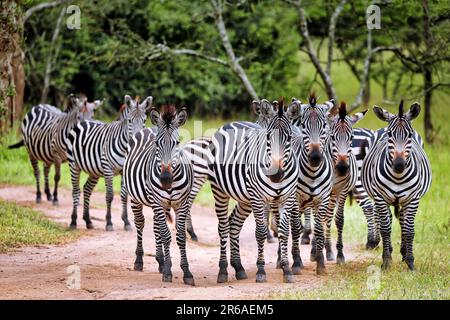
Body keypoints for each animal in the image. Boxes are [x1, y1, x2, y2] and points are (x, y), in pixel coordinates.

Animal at [66, 95, 152, 230]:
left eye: (144, 120)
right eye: (129, 121)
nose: (138, 139)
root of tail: (84, 121)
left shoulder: (124, 171)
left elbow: (124, 196)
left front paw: (126, 222)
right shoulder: (108, 169)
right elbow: (110, 195)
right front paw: (109, 222)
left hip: (94, 171)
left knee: (87, 189)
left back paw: (88, 221)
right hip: (74, 165)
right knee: (76, 191)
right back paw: (73, 221)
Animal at [123, 105, 195, 284]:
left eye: (177, 143)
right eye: (156, 143)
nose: (166, 179)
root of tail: (149, 128)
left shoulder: (182, 204)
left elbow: (180, 236)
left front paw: (186, 272)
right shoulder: (158, 202)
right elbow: (166, 235)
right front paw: (168, 271)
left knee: (156, 227)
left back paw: (160, 261)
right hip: (137, 199)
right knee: (140, 223)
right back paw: (139, 260)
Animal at [208, 99, 300, 282]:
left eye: (289, 138)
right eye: (268, 137)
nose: (276, 175)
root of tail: (229, 123)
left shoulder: (287, 198)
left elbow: (284, 232)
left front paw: (287, 269)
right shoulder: (258, 198)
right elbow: (261, 233)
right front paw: (261, 271)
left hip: (245, 198)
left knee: (234, 223)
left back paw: (239, 267)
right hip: (219, 191)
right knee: (223, 227)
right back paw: (223, 271)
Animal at [322, 102, 368, 262]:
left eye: (351, 137)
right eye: (332, 137)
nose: (342, 167)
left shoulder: (342, 190)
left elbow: (339, 219)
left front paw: (339, 254)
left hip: (334, 193)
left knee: (328, 216)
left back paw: (328, 250)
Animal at [360, 100, 430, 270]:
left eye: (409, 135)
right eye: (390, 135)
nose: (399, 165)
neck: (398, 177)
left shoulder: (413, 199)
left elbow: (409, 230)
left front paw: (410, 262)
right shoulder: (380, 197)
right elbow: (385, 229)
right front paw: (386, 261)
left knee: (403, 221)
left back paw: (404, 252)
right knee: (387, 221)